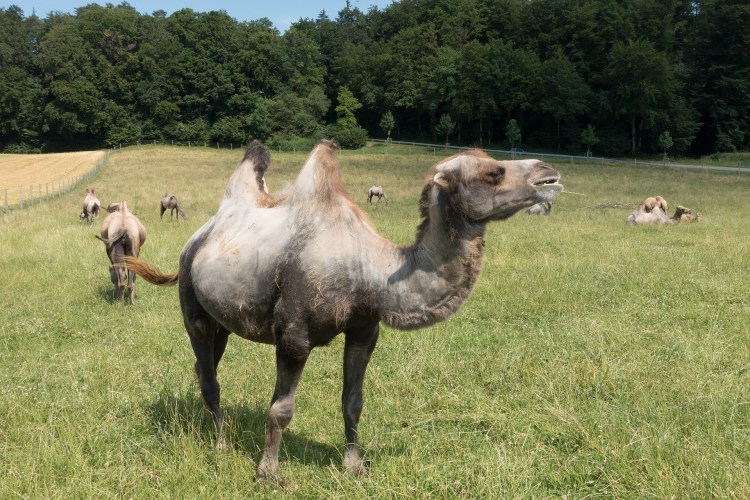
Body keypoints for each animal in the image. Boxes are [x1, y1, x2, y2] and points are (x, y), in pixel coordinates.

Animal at [123, 140, 563, 481]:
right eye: (493, 172)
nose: (549, 175)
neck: (369, 272)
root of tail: (198, 237)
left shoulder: (364, 330)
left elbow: (353, 401)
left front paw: (354, 466)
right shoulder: (293, 335)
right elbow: (281, 409)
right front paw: (268, 473)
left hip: (223, 322)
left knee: (204, 367)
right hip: (192, 305)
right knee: (209, 375)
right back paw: (220, 443)